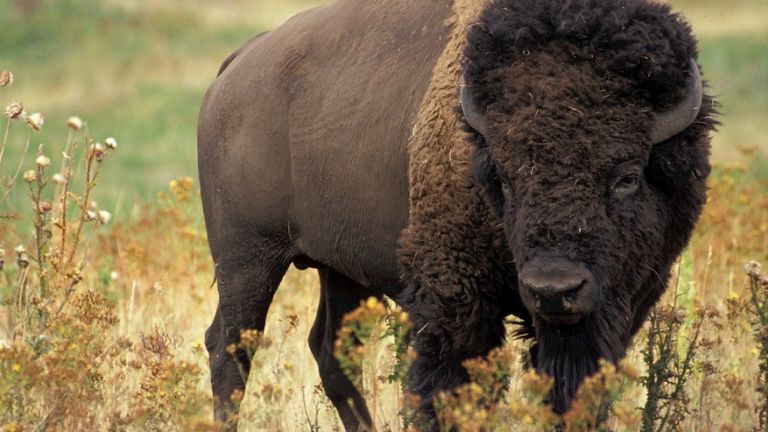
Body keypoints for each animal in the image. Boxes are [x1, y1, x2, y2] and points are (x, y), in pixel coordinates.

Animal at [197, 0, 716, 430]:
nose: (554, 289)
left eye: (627, 176)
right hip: (248, 257)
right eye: (503, 178)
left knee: (332, 353)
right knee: (230, 347)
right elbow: (449, 389)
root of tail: (238, 65)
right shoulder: (453, 301)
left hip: (339, 270)